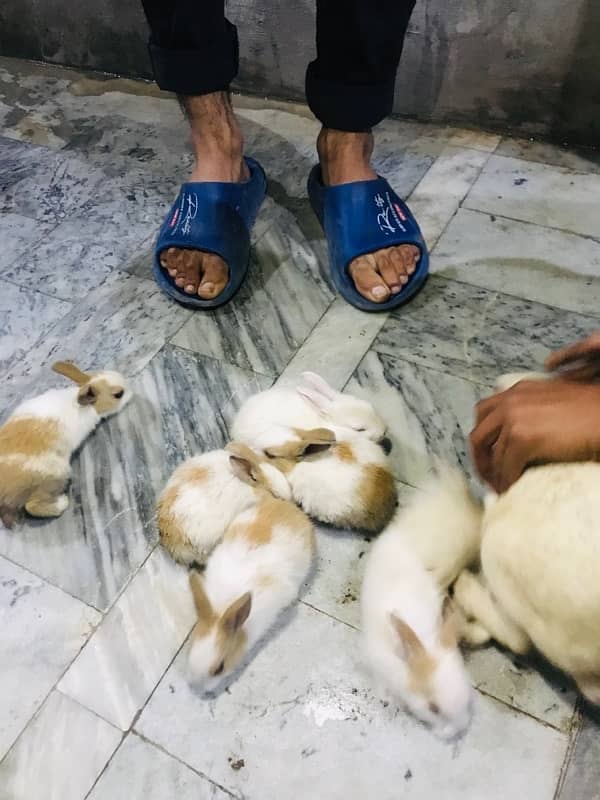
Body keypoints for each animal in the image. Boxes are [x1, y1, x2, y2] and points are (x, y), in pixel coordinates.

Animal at [0, 360, 131, 524]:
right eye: (118, 394)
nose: (132, 390)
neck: (86, 406)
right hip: (55, 475)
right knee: (32, 506)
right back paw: (62, 502)